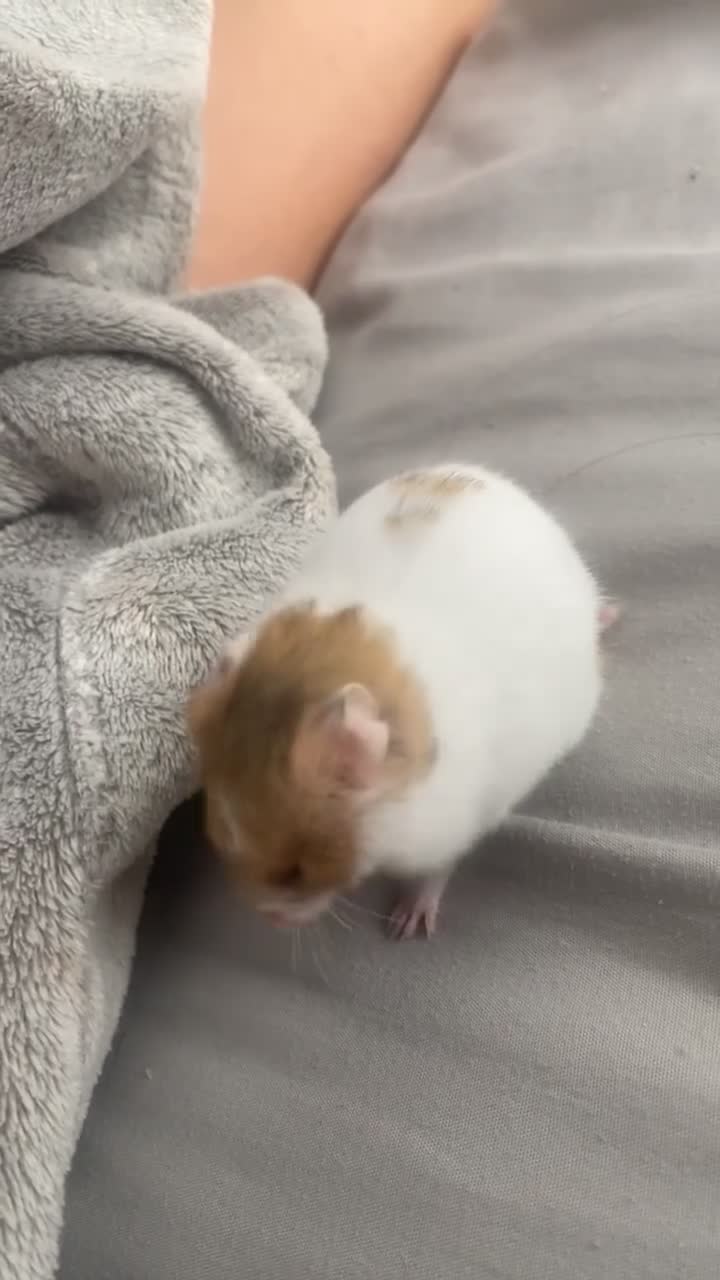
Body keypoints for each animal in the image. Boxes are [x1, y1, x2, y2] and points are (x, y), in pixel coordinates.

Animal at [188, 463, 615, 939]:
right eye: (217, 835)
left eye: (296, 871)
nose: (270, 920)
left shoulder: (450, 833)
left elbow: (435, 873)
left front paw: (404, 927)